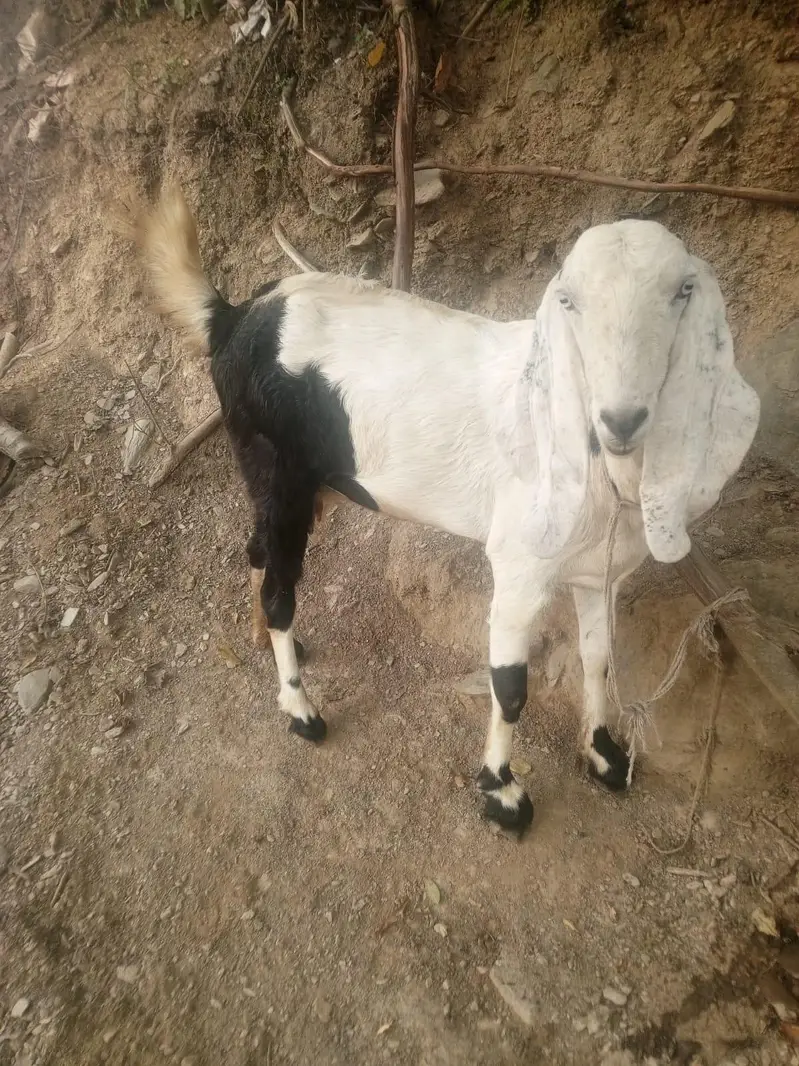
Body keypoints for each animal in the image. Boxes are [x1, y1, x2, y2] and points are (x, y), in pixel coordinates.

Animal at [134, 187, 760, 834]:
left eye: (683, 291)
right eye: (568, 301)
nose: (621, 419)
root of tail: (232, 316)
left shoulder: (599, 574)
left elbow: (599, 659)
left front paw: (604, 754)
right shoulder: (518, 567)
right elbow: (510, 687)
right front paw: (502, 793)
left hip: (301, 486)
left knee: (257, 551)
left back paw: (270, 644)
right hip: (277, 472)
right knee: (280, 589)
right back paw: (301, 709)